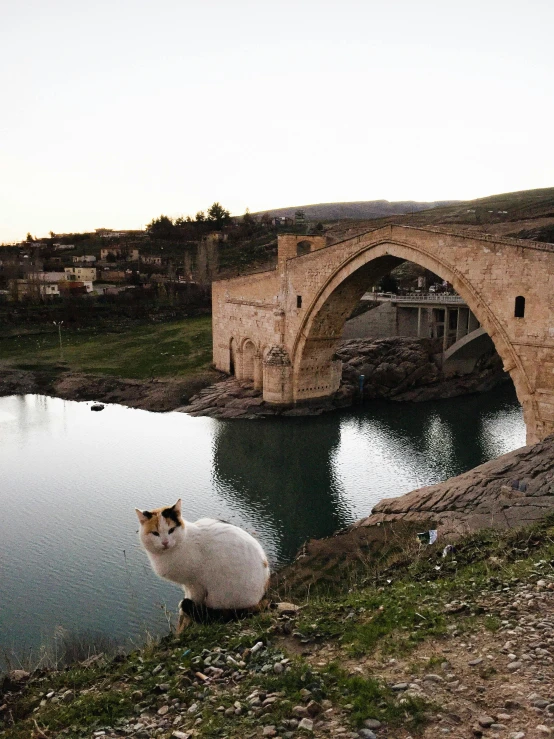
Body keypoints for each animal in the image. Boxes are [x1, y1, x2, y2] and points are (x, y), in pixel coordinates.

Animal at [136, 500, 270, 620]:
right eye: (155, 533)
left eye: (171, 530)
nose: (165, 542)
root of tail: (260, 598)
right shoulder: (186, 584)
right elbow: (187, 594)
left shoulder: (195, 583)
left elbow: (194, 597)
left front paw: (185, 610)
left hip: (219, 597)